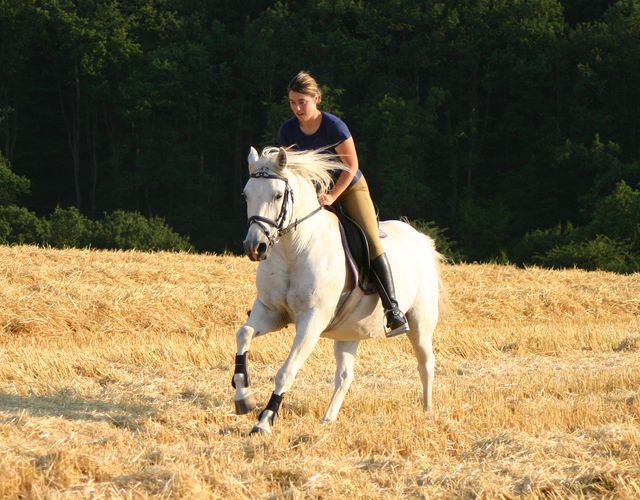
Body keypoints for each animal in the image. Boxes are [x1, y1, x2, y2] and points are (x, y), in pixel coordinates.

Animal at [232, 146, 442, 434]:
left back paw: (427, 411)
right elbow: (243, 334)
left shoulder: (312, 320)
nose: (256, 247)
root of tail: (420, 238)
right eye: (246, 195)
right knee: (344, 376)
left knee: (426, 363)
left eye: (277, 195)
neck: (294, 250)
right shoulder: (271, 311)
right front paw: (243, 397)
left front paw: (264, 421)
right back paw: (327, 419)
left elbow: (286, 371)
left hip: (420, 321)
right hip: (349, 331)